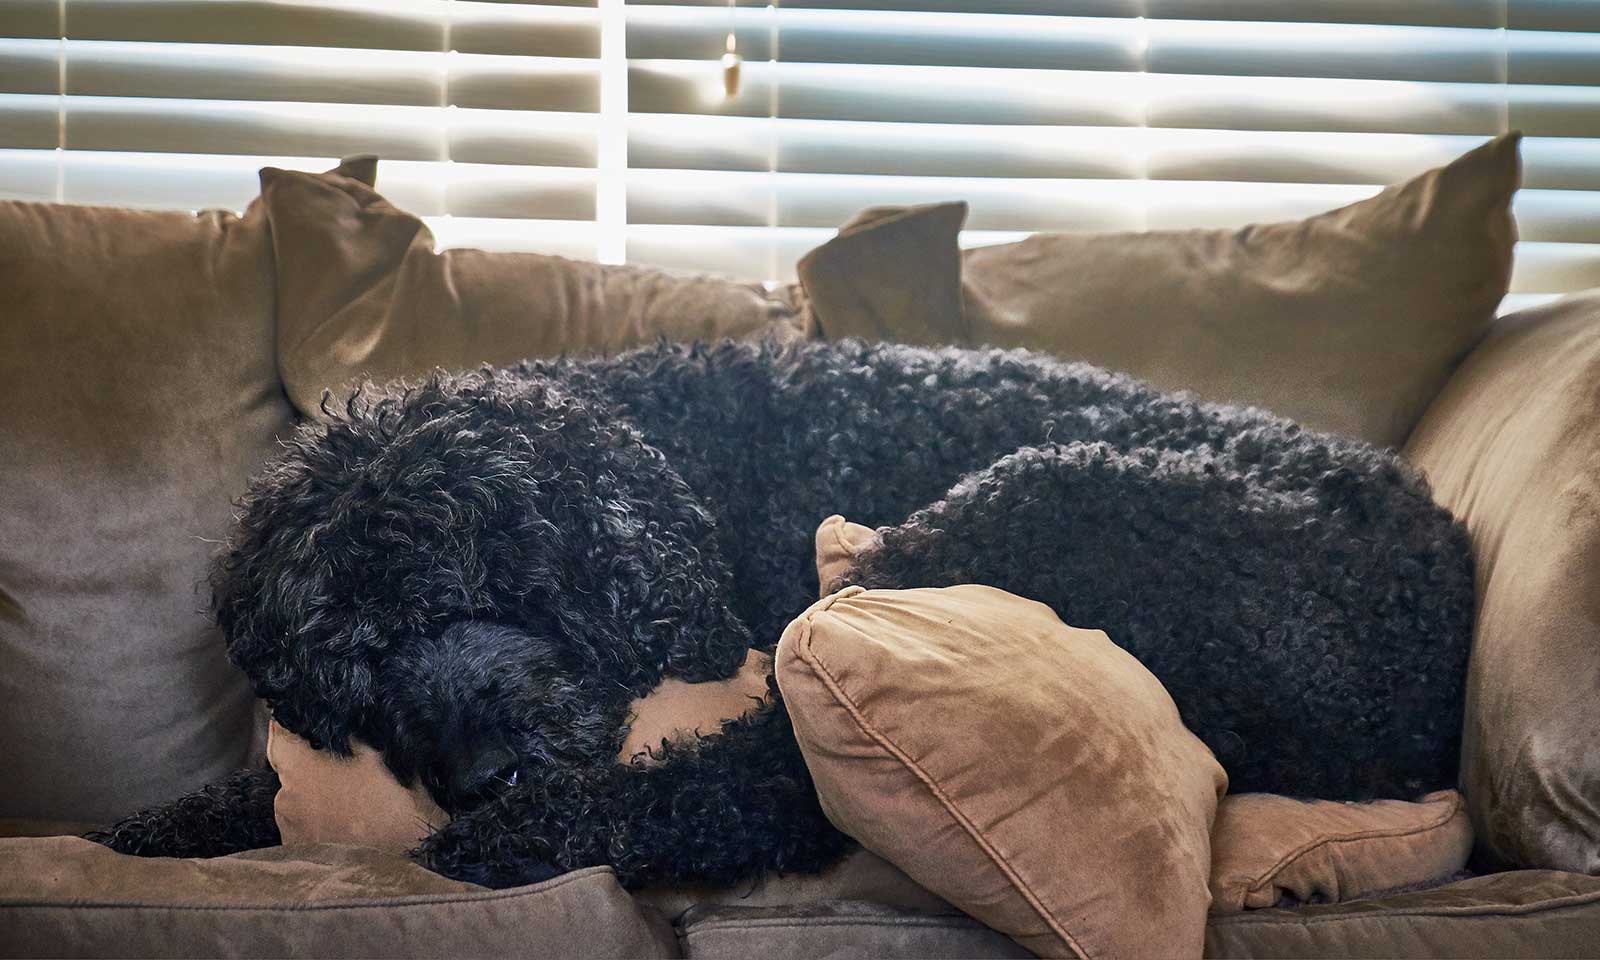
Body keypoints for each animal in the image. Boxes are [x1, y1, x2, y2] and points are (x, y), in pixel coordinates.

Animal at [87, 339, 1472, 889]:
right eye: (351, 674)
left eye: (485, 591)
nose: (480, 779)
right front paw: (153, 830)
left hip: (1052, 497)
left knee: (745, 780)